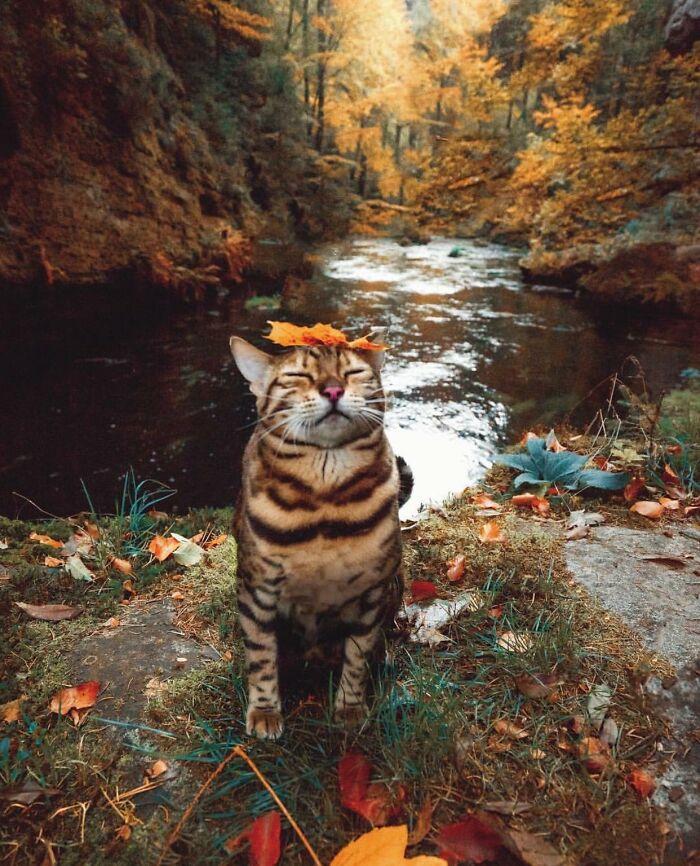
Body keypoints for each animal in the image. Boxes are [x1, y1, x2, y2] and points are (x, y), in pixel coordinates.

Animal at [230, 334, 416, 740]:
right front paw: (265, 710)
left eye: (353, 372)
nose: (333, 389)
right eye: (298, 375)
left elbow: (357, 656)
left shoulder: (371, 593)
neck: (324, 499)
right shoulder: (257, 590)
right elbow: (261, 656)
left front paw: (350, 707)